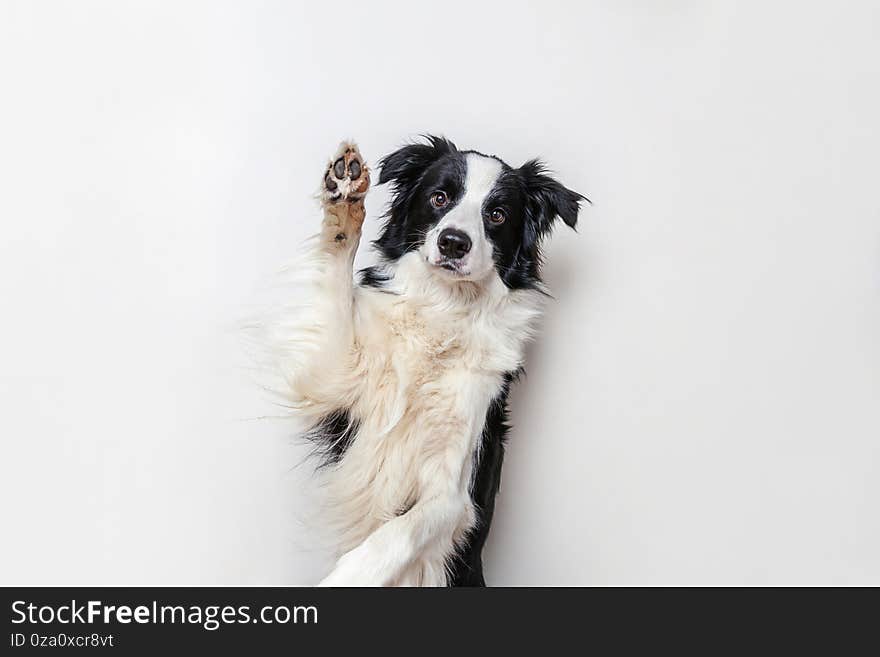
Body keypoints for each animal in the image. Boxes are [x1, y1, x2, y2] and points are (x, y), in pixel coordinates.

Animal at [264, 135, 588, 584]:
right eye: (439, 197)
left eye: (497, 215)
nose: (453, 241)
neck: (444, 310)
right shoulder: (337, 375)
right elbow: (336, 283)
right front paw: (345, 197)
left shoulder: (456, 494)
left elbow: (399, 533)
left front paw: (344, 578)